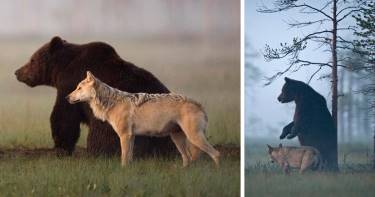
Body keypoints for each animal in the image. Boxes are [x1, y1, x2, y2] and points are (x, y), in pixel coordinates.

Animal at [15, 36, 177, 157]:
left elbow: (64, 116)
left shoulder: (69, 84)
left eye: (32, 60)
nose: (17, 72)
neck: (62, 68)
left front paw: (61, 147)